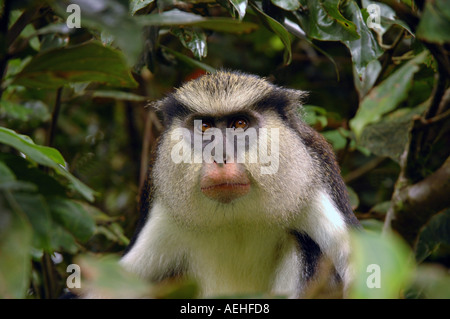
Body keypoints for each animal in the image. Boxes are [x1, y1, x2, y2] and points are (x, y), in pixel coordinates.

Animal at [120, 71, 362, 298]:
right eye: (204, 127)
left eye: (239, 124)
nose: (220, 156)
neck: (235, 217)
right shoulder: (163, 208)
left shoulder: (314, 181)